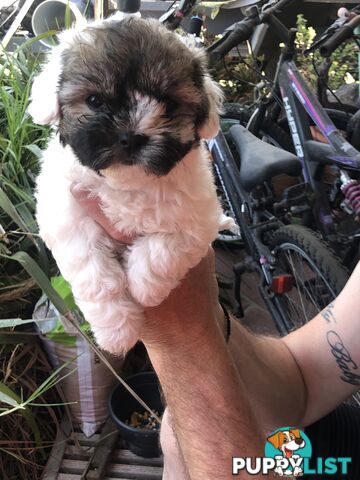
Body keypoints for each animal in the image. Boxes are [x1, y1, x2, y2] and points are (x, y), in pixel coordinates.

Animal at [30, 15, 233, 354]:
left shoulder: (199, 220)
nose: (131, 136)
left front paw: (143, 288)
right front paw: (117, 329)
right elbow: (93, 271)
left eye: (168, 103)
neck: (127, 186)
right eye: (94, 100)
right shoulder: (66, 214)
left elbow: (163, 251)